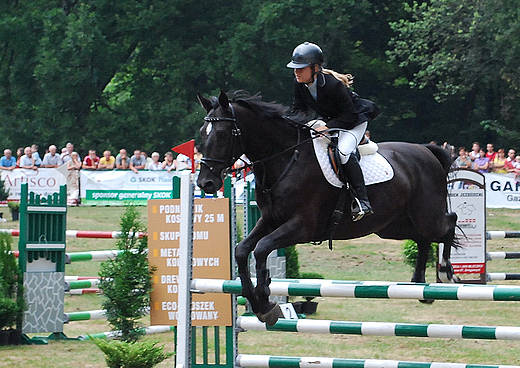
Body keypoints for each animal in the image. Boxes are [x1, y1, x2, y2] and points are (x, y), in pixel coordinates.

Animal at [196, 90, 460, 326]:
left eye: (222, 134)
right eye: (201, 133)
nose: (205, 183)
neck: (285, 158)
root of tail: (426, 150)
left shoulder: (302, 227)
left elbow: (261, 249)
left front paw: (265, 302)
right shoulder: (271, 220)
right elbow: (242, 250)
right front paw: (259, 303)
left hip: (425, 215)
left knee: (448, 223)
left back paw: (446, 274)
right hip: (392, 226)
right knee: (423, 238)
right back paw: (420, 285)